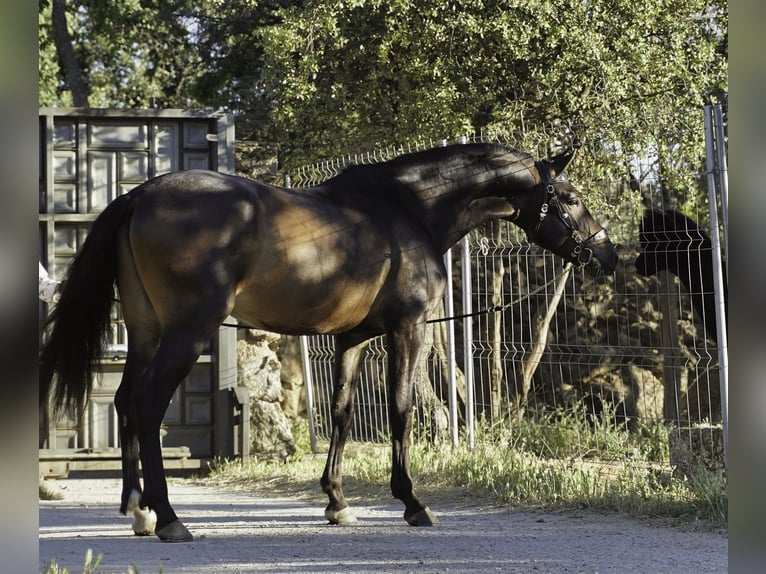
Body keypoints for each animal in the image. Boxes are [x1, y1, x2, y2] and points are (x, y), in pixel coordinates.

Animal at [40, 143, 618, 542]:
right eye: (570, 199)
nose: (607, 256)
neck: (408, 209)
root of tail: (138, 195)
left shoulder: (351, 339)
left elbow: (341, 412)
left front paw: (337, 500)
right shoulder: (408, 330)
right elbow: (402, 410)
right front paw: (411, 501)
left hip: (146, 331)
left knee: (125, 401)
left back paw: (137, 509)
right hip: (188, 332)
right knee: (148, 403)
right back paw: (168, 518)